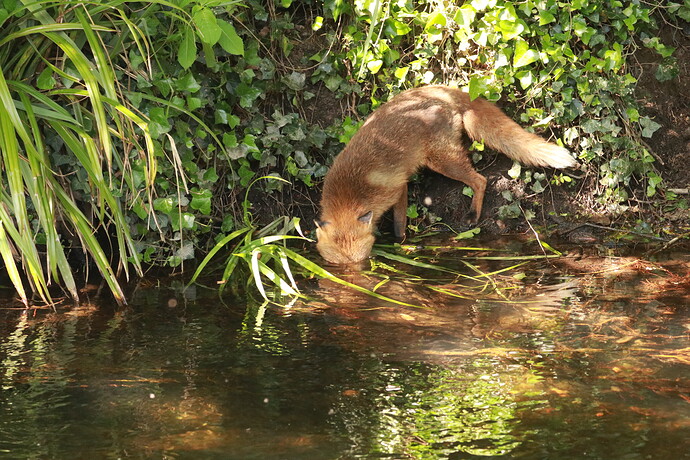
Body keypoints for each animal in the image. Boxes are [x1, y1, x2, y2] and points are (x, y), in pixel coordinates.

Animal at [315, 85, 576, 265]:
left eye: (362, 262)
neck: (349, 193)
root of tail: (446, 91)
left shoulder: (397, 188)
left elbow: (399, 224)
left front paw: (400, 243)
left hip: (443, 160)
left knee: (480, 180)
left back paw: (473, 215)